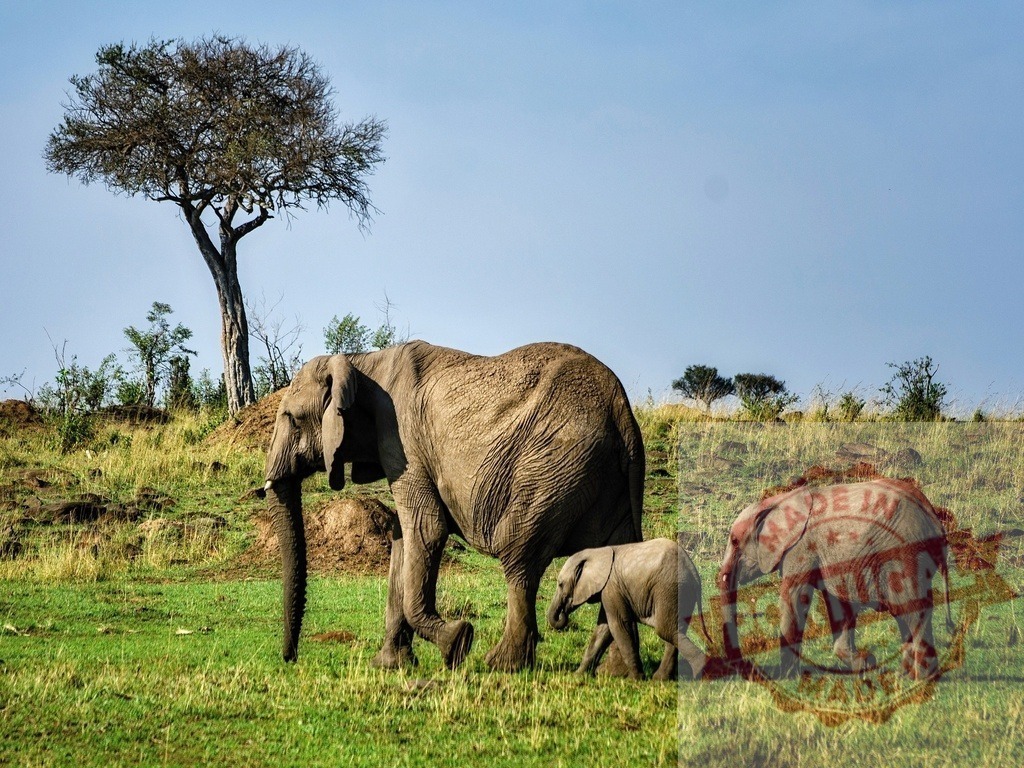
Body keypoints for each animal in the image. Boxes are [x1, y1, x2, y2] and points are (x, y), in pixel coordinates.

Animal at [262, 340, 645, 671]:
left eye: (293, 418)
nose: (289, 658)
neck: (363, 362)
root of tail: (621, 410)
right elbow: (403, 539)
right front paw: (389, 665)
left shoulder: (403, 442)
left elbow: (426, 529)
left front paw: (458, 643)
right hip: (604, 478)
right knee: (617, 561)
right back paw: (616, 672)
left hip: (552, 466)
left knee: (518, 554)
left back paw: (501, 665)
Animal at [547, 538, 710, 680]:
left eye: (560, 584)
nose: (563, 614)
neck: (596, 552)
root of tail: (693, 571)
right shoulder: (609, 591)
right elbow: (603, 630)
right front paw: (577, 676)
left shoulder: (611, 588)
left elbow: (618, 625)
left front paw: (634, 680)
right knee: (674, 629)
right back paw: (660, 679)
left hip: (670, 588)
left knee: (665, 630)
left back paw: (701, 671)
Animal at [719, 478, 954, 680]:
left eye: (735, 541)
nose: (749, 668)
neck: (778, 501)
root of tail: (934, 519)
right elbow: (839, 605)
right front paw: (865, 663)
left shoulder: (801, 548)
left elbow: (795, 597)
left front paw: (787, 677)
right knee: (902, 612)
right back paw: (903, 676)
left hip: (904, 554)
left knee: (912, 609)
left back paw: (923, 678)